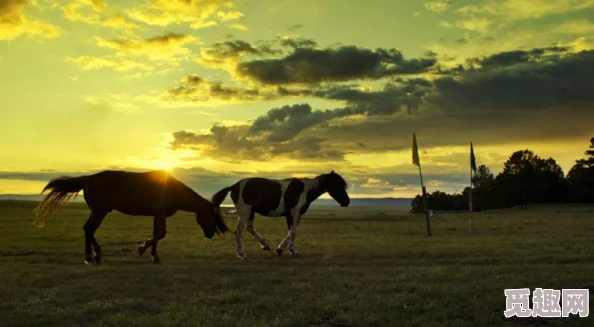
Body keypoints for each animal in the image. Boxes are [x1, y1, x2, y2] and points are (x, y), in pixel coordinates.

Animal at [33, 170, 227, 266]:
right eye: (213, 216)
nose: (210, 235)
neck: (173, 189)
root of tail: (88, 179)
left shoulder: (157, 214)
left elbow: (156, 234)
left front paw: (154, 256)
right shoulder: (160, 213)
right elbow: (161, 234)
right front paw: (142, 248)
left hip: (97, 211)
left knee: (87, 229)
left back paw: (95, 254)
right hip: (100, 211)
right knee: (89, 229)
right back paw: (91, 257)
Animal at [212, 172, 346, 262]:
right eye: (337, 184)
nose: (346, 201)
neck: (304, 191)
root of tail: (234, 186)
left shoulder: (289, 215)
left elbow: (290, 232)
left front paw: (280, 248)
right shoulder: (295, 214)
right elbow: (293, 232)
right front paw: (292, 250)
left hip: (250, 212)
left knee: (249, 228)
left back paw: (265, 245)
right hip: (245, 213)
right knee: (238, 231)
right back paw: (242, 254)